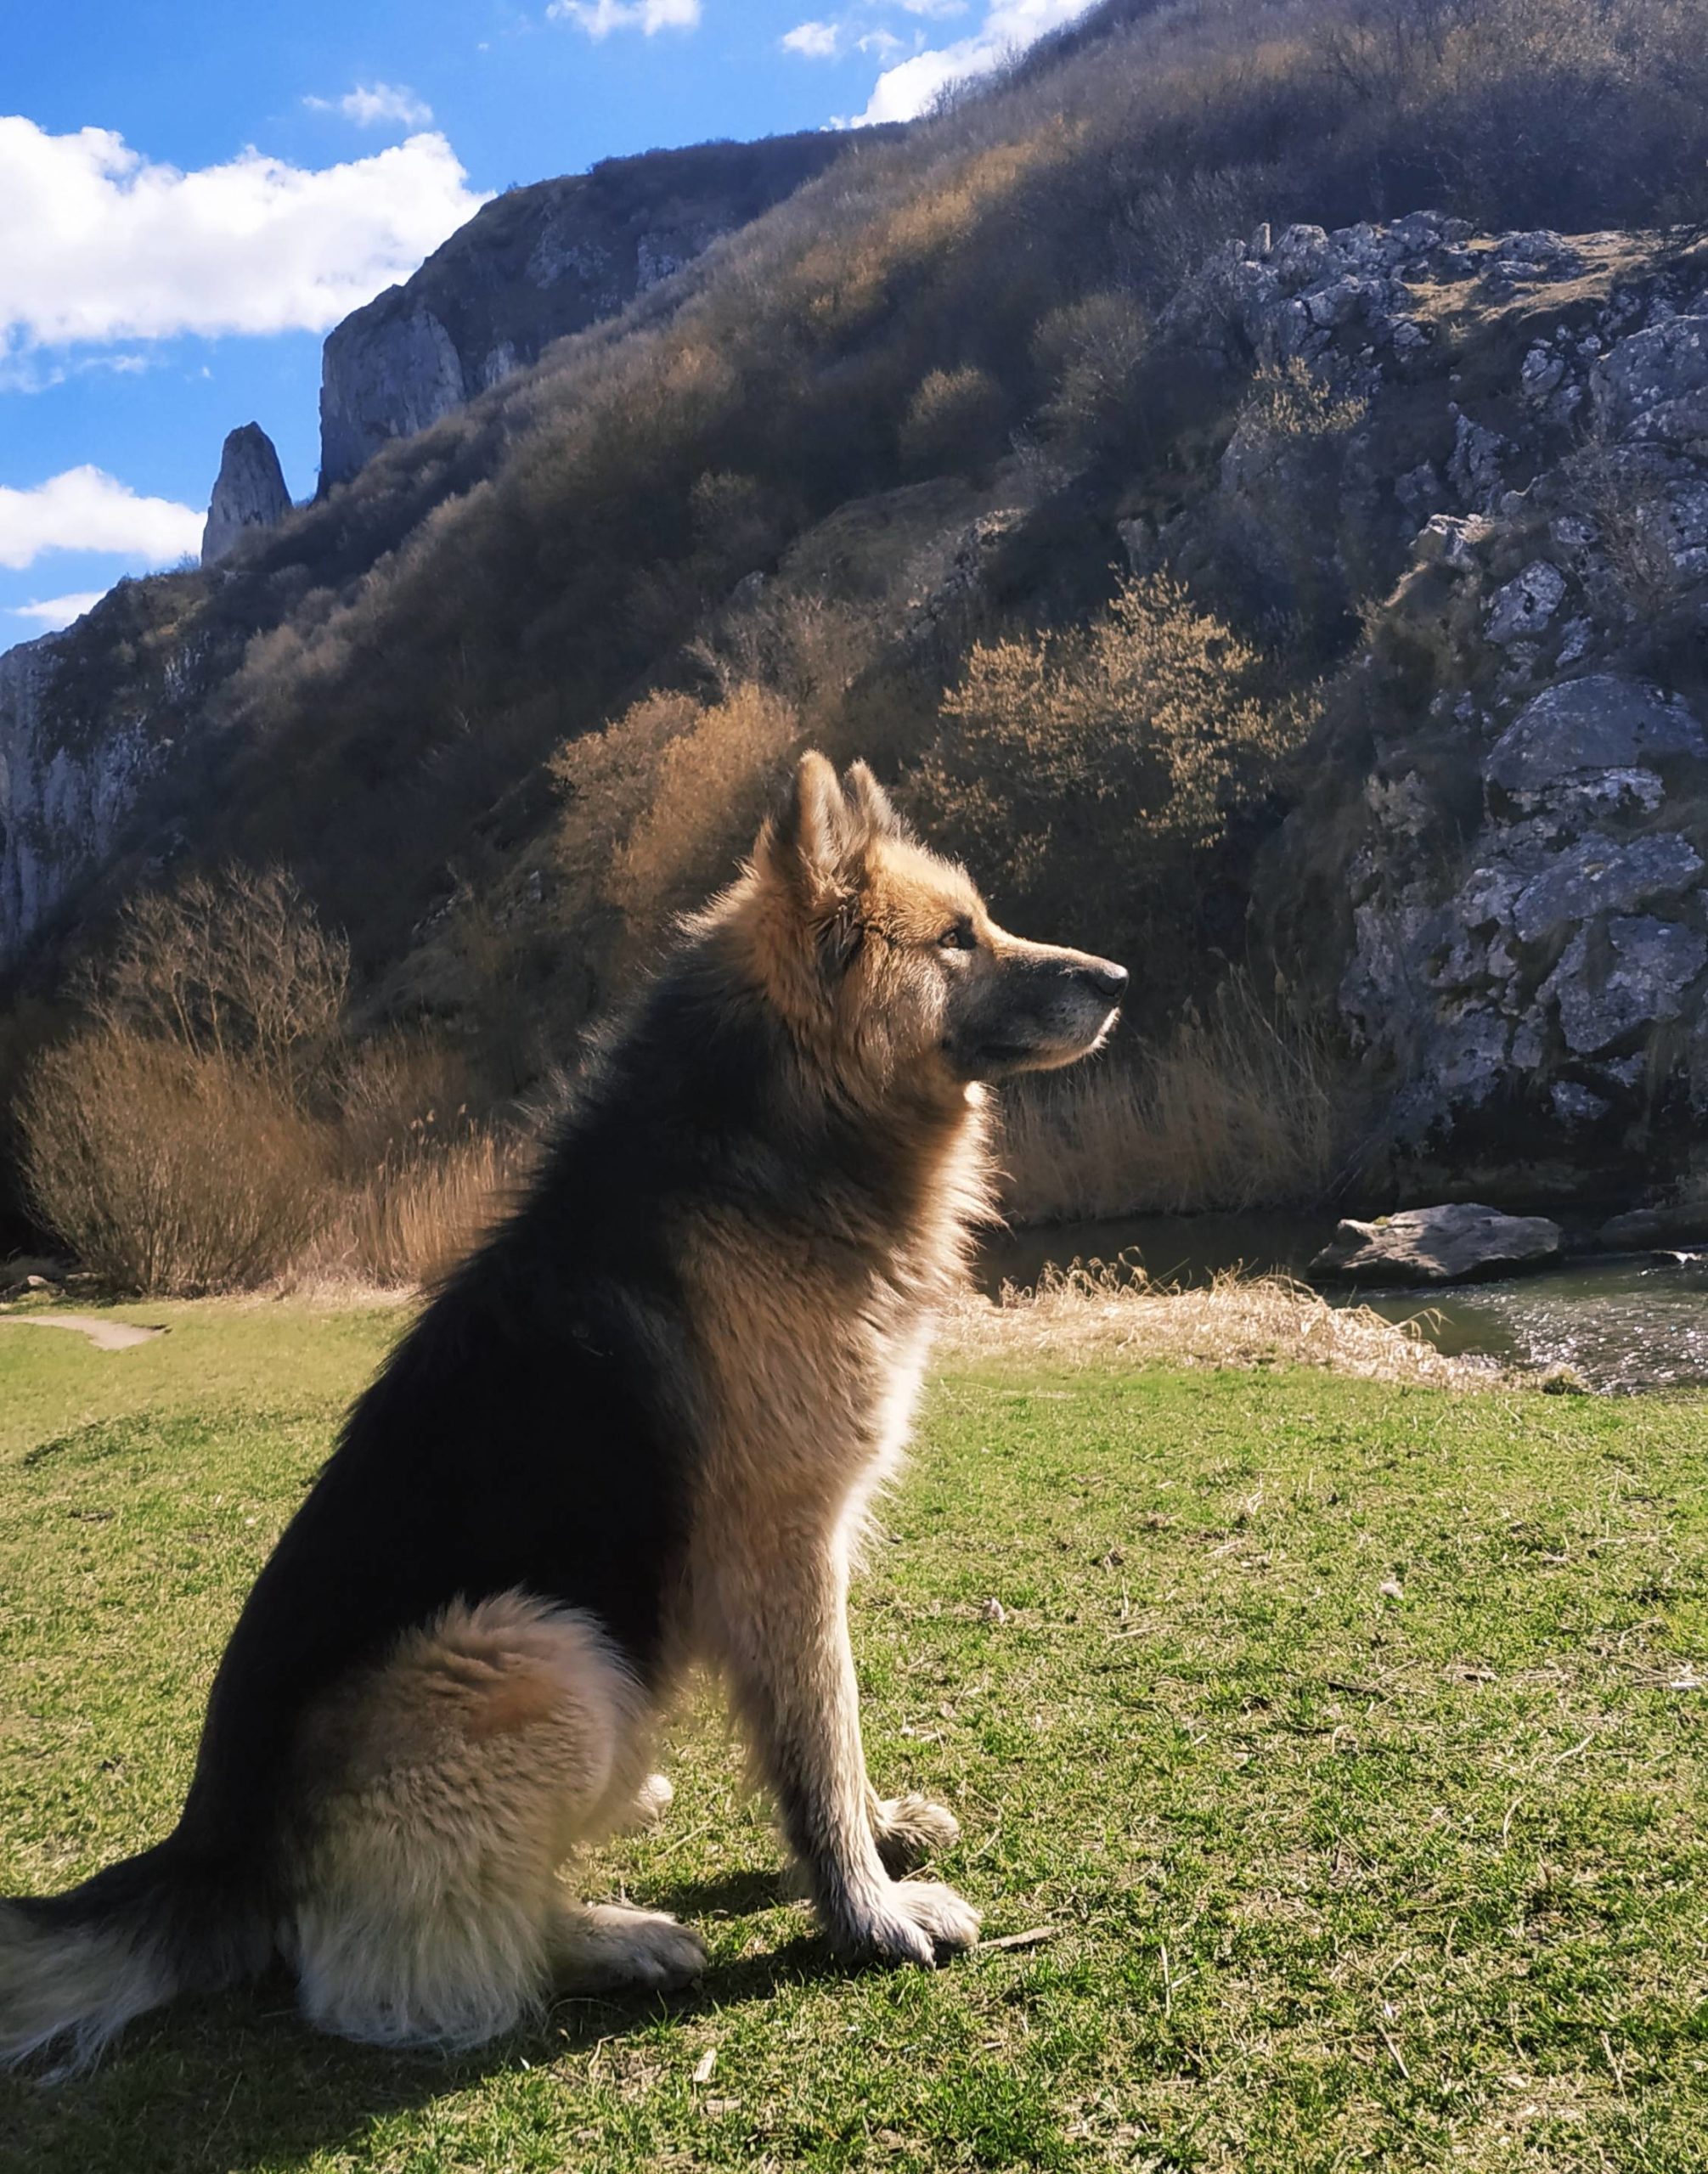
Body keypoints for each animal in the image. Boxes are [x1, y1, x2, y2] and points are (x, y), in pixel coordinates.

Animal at [0, 756, 1121, 2060]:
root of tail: (211, 1853)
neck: (772, 1125)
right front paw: (867, 1910)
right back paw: (615, 1939)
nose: (1118, 982)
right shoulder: (785, 1544)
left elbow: (816, 1732)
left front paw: (879, 1834)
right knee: (387, 1966)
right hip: (537, 1647)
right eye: (957, 939)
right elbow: (819, 1741)